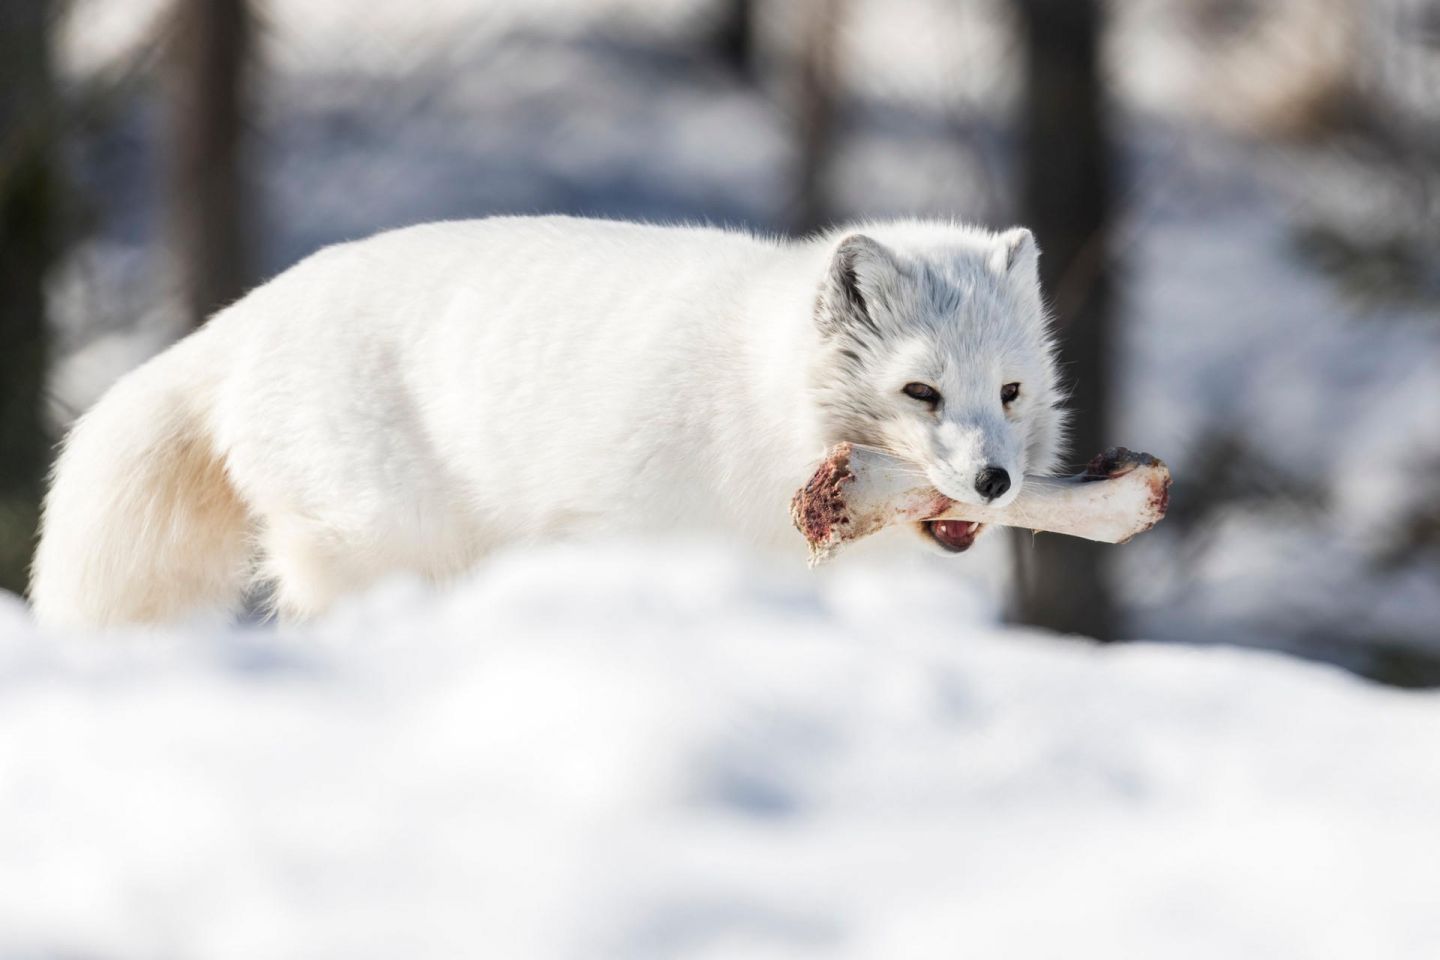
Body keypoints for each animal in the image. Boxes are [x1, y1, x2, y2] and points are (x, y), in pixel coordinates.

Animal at [30, 214, 1071, 627]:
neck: (754, 402)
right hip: (381, 545)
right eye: (921, 394)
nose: (994, 483)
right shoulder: (614, 533)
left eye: (1011, 393)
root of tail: (242, 319)